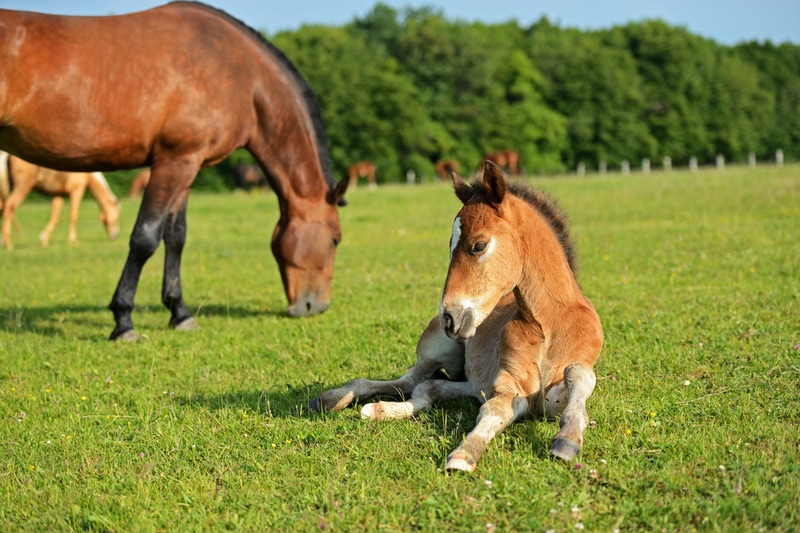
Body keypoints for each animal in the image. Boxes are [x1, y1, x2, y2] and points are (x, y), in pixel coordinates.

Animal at [0, 3, 350, 340]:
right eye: (335, 240)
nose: (315, 306)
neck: (240, 74)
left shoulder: (188, 167)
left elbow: (176, 236)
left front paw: (179, 313)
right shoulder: (173, 161)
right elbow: (145, 238)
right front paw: (123, 321)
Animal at [310, 161, 604, 470]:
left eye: (478, 245)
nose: (449, 318)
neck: (549, 326)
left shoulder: (552, 396)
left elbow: (578, 375)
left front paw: (567, 439)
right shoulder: (506, 385)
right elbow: (494, 411)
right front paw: (464, 454)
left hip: (469, 382)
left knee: (428, 388)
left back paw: (379, 410)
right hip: (437, 350)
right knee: (408, 382)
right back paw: (335, 399)